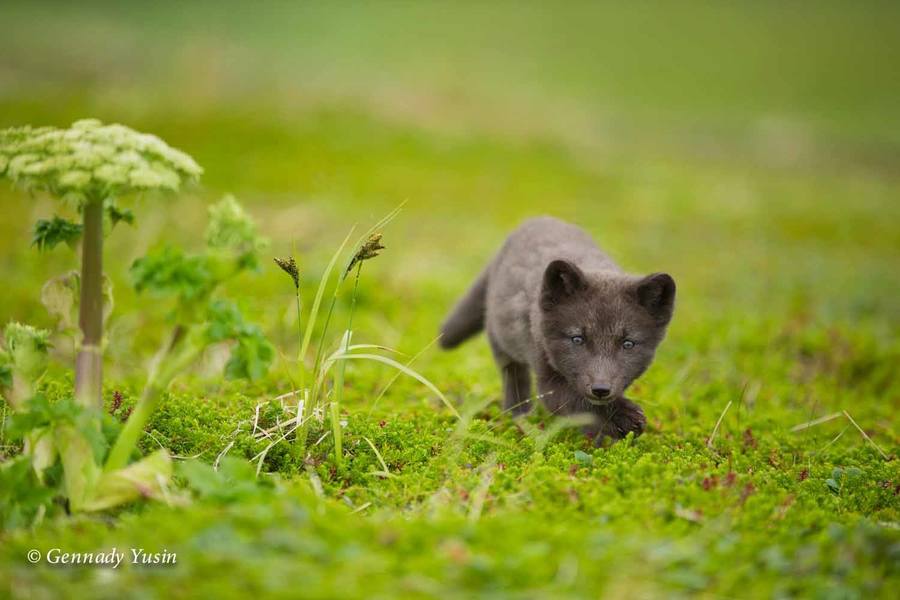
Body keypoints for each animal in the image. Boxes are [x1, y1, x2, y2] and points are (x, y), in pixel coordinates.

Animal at [436, 218, 676, 442]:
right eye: (577, 339)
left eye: (628, 344)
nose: (600, 389)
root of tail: (534, 220)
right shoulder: (546, 378)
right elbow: (579, 402)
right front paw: (621, 417)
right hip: (503, 345)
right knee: (514, 382)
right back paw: (519, 418)